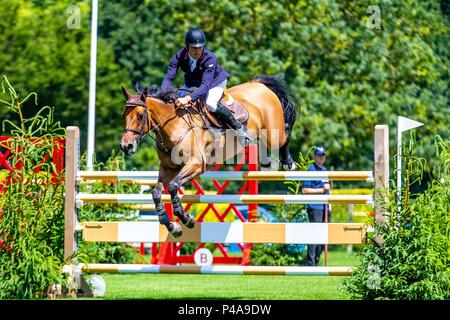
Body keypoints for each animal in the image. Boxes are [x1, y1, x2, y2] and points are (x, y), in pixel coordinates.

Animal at [119, 74, 298, 236]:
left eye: (140, 116)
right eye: (123, 116)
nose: (126, 146)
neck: (174, 126)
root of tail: (259, 84)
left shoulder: (196, 165)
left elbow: (174, 186)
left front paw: (186, 219)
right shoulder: (168, 169)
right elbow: (156, 193)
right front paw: (172, 226)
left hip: (272, 134)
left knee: (286, 131)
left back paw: (288, 163)